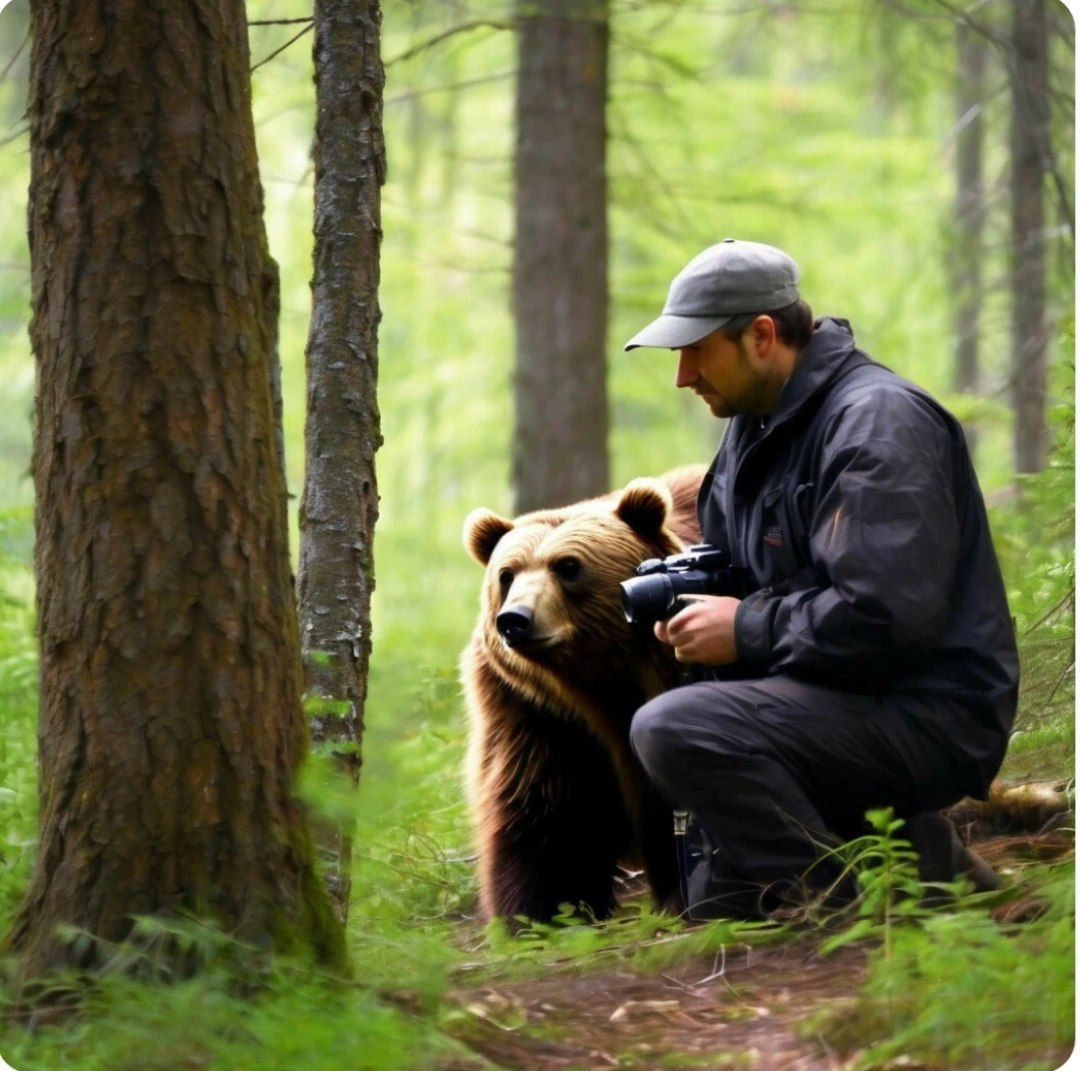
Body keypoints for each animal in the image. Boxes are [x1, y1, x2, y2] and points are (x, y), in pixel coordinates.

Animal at [460, 464, 704, 924]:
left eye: (568, 566)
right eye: (507, 574)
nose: (515, 620)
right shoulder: (538, 711)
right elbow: (545, 807)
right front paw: (543, 910)